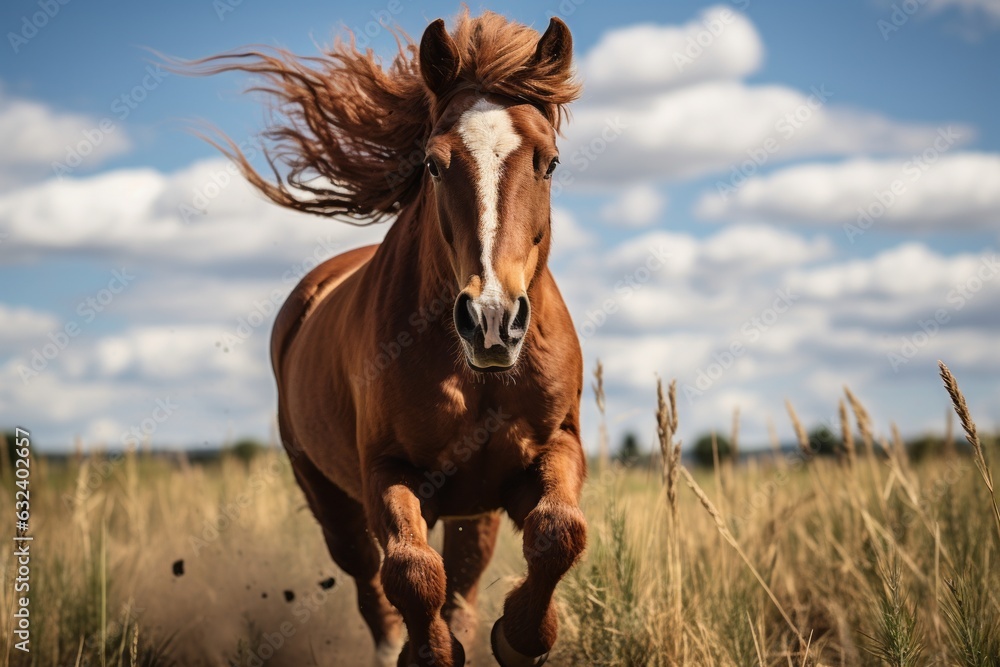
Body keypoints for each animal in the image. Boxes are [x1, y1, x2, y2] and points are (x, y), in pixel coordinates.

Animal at [194, 12, 587, 666]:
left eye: (550, 162)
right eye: (434, 163)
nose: (491, 320)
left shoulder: (552, 448)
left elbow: (559, 532)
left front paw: (520, 636)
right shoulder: (388, 470)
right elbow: (410, 573)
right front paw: (433, 652)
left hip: (472, 510)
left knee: (464, 582)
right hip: (329, 497)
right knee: (370, 582)